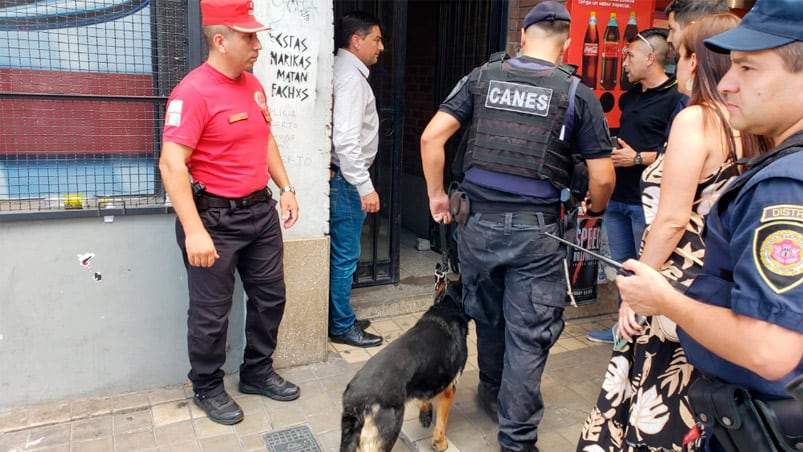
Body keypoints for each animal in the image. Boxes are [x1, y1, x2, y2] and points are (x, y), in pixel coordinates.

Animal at [340, 278, 468, 450]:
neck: (446, 309)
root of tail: (355, 398)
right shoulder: (449, 389)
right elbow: (441, 423)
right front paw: (440, 443)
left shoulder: (429, 380)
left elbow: (425, 397)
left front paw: (425, 413)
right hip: (387, 434)